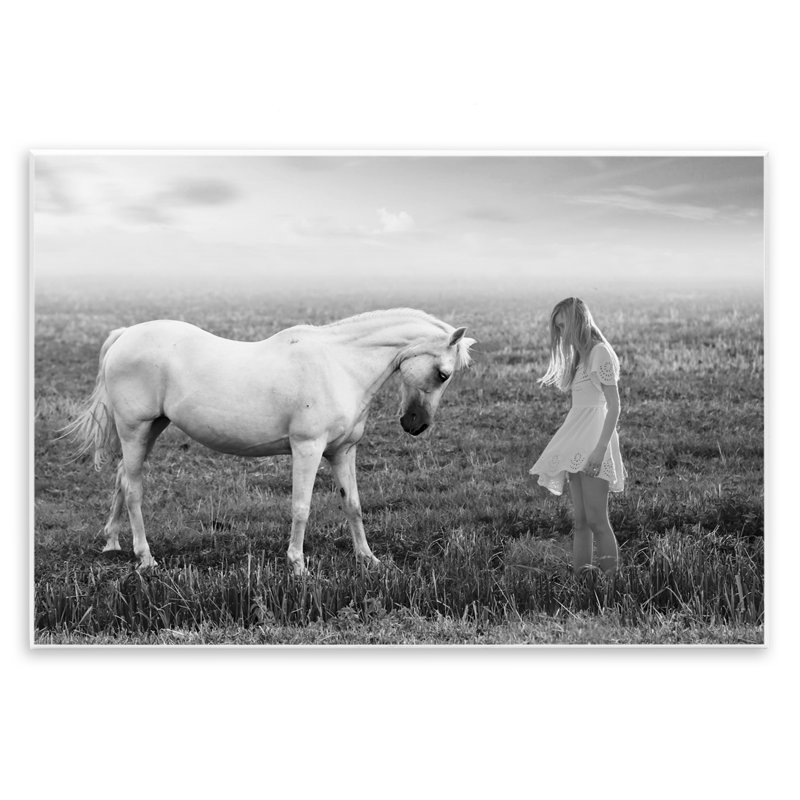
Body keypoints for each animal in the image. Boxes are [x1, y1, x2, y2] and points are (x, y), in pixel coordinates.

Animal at [63, 308, 476, 575]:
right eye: (443, 374)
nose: (416, 425)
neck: (340, 365)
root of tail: (125, 335)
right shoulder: (307, 448)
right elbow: (301, 507)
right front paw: (298, 565)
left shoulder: (342, 452)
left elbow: (354, 505)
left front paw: (368, 559)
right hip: (135, 429)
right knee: (133, 489)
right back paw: (145, 557)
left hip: (151, 429)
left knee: (122, 477)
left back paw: (113, 542)